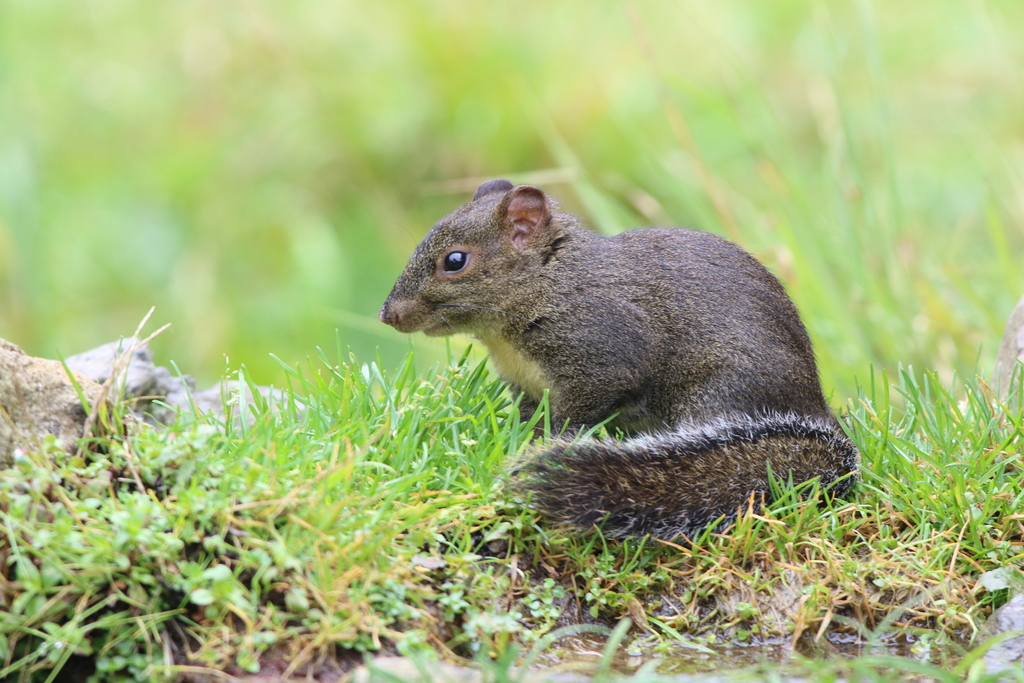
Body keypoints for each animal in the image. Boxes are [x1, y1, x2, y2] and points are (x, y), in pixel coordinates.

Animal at [379, 179, 859, 540]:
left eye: (455, 261)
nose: (388, 315)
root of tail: (815, 413)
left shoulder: (604, 356)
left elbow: (576, 414)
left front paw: (548, 442)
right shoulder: (526, 385)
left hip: (717, 394)